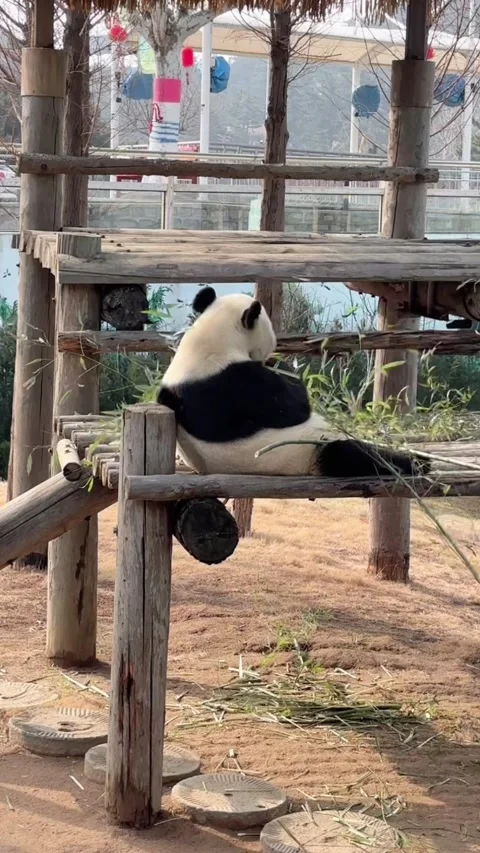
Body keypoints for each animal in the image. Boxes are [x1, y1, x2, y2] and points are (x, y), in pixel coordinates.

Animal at [158, 286, 429, 479]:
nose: (271, 351)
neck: (209, 342)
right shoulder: (233, 384)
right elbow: (292, 407)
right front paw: (282, 367)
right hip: (303, 451)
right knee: (348, 454)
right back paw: (415, 463)